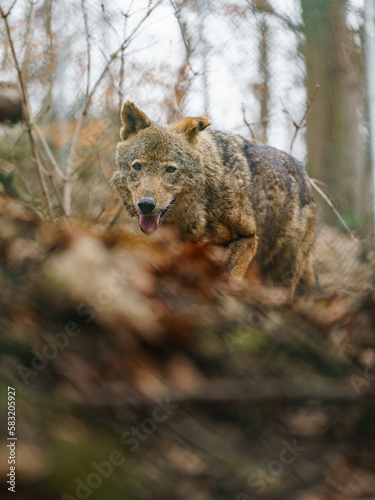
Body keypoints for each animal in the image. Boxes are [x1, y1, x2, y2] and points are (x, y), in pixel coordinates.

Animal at [112, 99, 318, 292]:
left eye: (170, 169)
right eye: (137, 166)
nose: (146, 204)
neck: (201, 207)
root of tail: (307, 179)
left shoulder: (247, 237)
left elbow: (227, 279)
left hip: (282, 272)